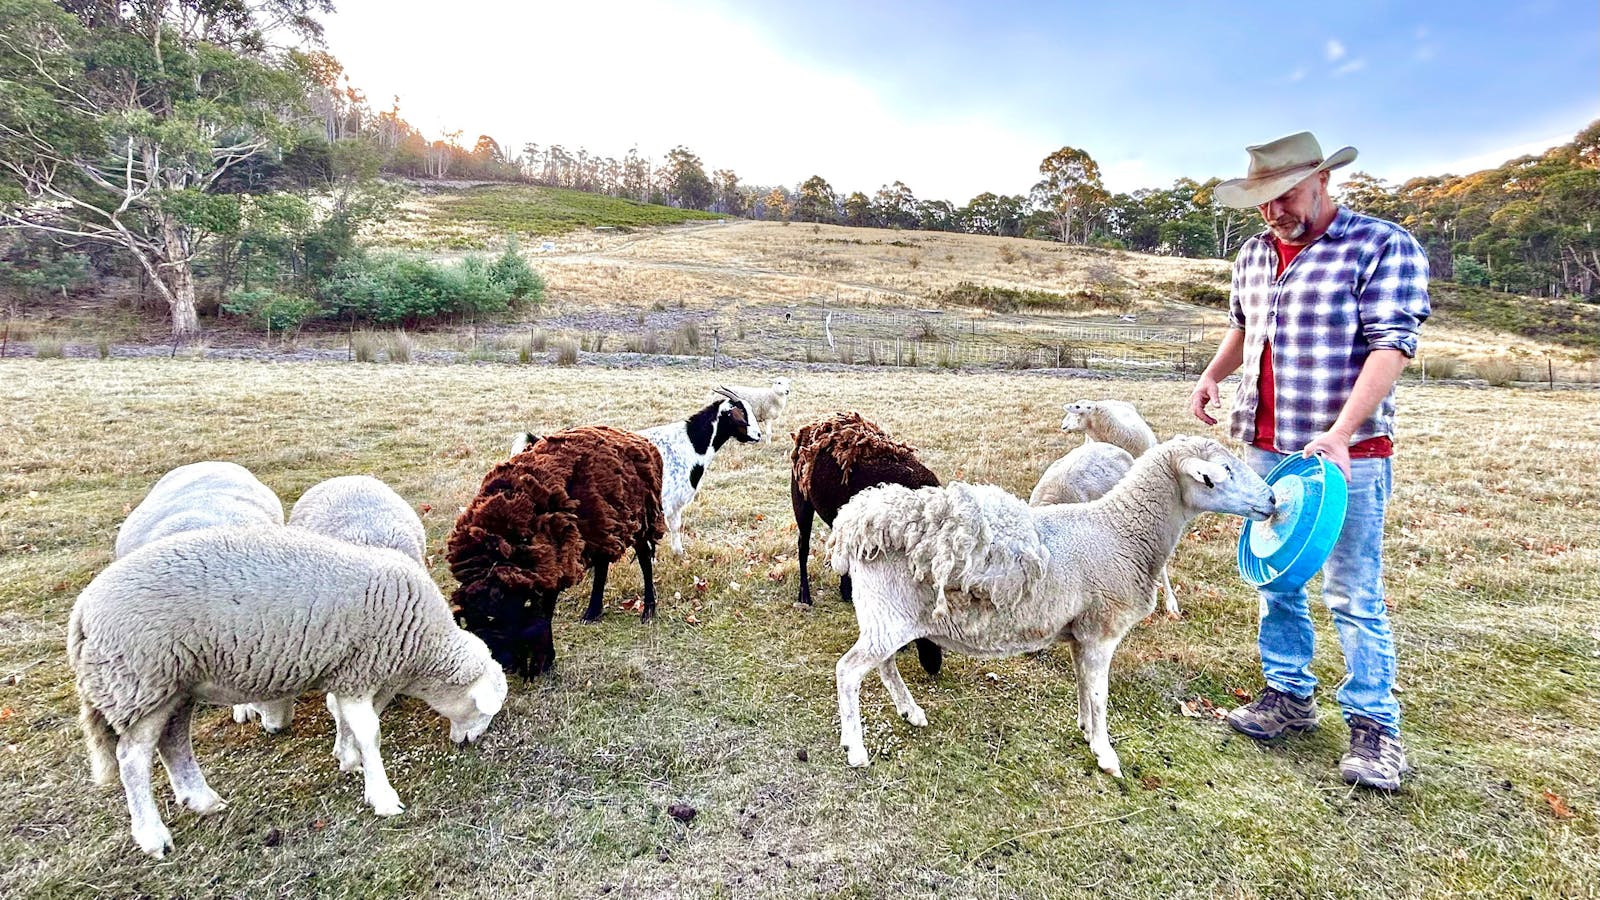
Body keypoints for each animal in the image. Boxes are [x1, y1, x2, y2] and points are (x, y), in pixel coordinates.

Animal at [68, 526, 507, 858]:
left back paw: (202, 800)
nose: (472, 742)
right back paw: (152, 836)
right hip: (140, 678)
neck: (420, 646)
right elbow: (370, 732)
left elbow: (349, 722)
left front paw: (349, 759)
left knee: (173, 741)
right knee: (132, 759)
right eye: (484, 711)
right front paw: (382, 797)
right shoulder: (360, 668)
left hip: (172, 685)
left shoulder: (353, 672)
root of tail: (83, 610)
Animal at [447, 425, 665, 678]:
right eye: (473, 626)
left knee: (644, 560)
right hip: (600, 527)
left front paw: (544, 663)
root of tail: (637, 438)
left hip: (639, 518)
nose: (505, 666)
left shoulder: (551, 564)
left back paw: (648, 610)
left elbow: (545, 613)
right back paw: (592, 612)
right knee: (602, 565)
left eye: (496, 617)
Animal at [640, 387, 761, 555]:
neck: (691, 443)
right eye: (742, 412)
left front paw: (679, 553)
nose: (758, 435)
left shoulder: (675, 503)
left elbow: (675, 527)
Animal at [790, 411, 944, 676]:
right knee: (803, 546)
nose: (933, 666)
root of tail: (811, 426)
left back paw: (844, 591)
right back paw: (805, 597)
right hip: (801, 500)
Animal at [827, 435, 1276, 777]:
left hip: (886, 616)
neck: (1123, 532)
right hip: (889, 615)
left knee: (884, 665)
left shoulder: (1081, 633)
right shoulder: (1102, 630)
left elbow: (1083, 685)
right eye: (1221, 473)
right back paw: (855, 748)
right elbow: (1100, 694)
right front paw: (1106, 754)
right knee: (848, 671)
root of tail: (861, 523)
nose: (1272, 499)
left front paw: (1086, 730)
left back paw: (910, 712)